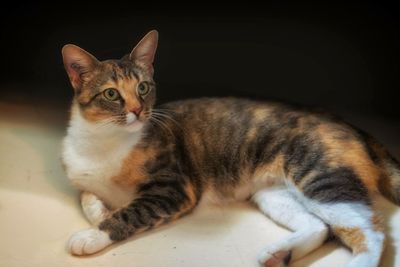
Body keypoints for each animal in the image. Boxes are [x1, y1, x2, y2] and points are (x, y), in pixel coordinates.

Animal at [61, 30, 400, 266]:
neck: (104, 141)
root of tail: (350, 125)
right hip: (273, 193)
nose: (137, 110)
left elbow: (130, 213)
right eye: (111, 94)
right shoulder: (81, 178)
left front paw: (92, 234)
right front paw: (100, 211)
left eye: (143, 87)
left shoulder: (176, 189)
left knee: (372, 232)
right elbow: (86, 197)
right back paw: (279, 254)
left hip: (321, 176)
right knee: (318, 225)